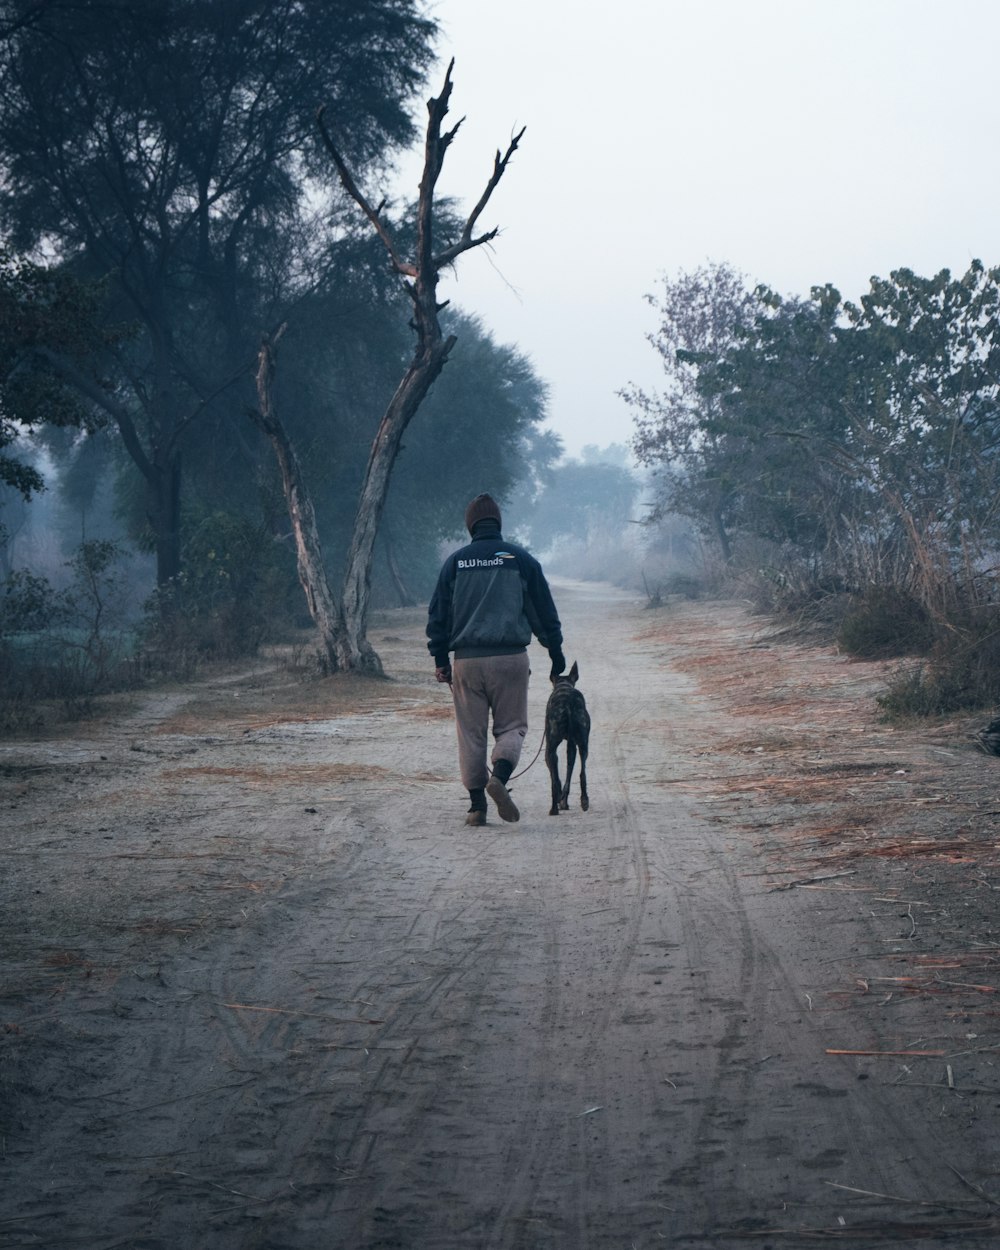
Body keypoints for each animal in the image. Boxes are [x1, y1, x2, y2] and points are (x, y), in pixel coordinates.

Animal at [542, 660, 590, 815]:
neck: (564, 685)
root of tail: (569, 703)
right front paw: (563, 801)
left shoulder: (548, 749)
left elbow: (555, 778)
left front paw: (560, 800)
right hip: (583, 743)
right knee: (581, 773)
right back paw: (583, 801)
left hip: (551, 746)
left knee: (555, 782)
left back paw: (554, 808)